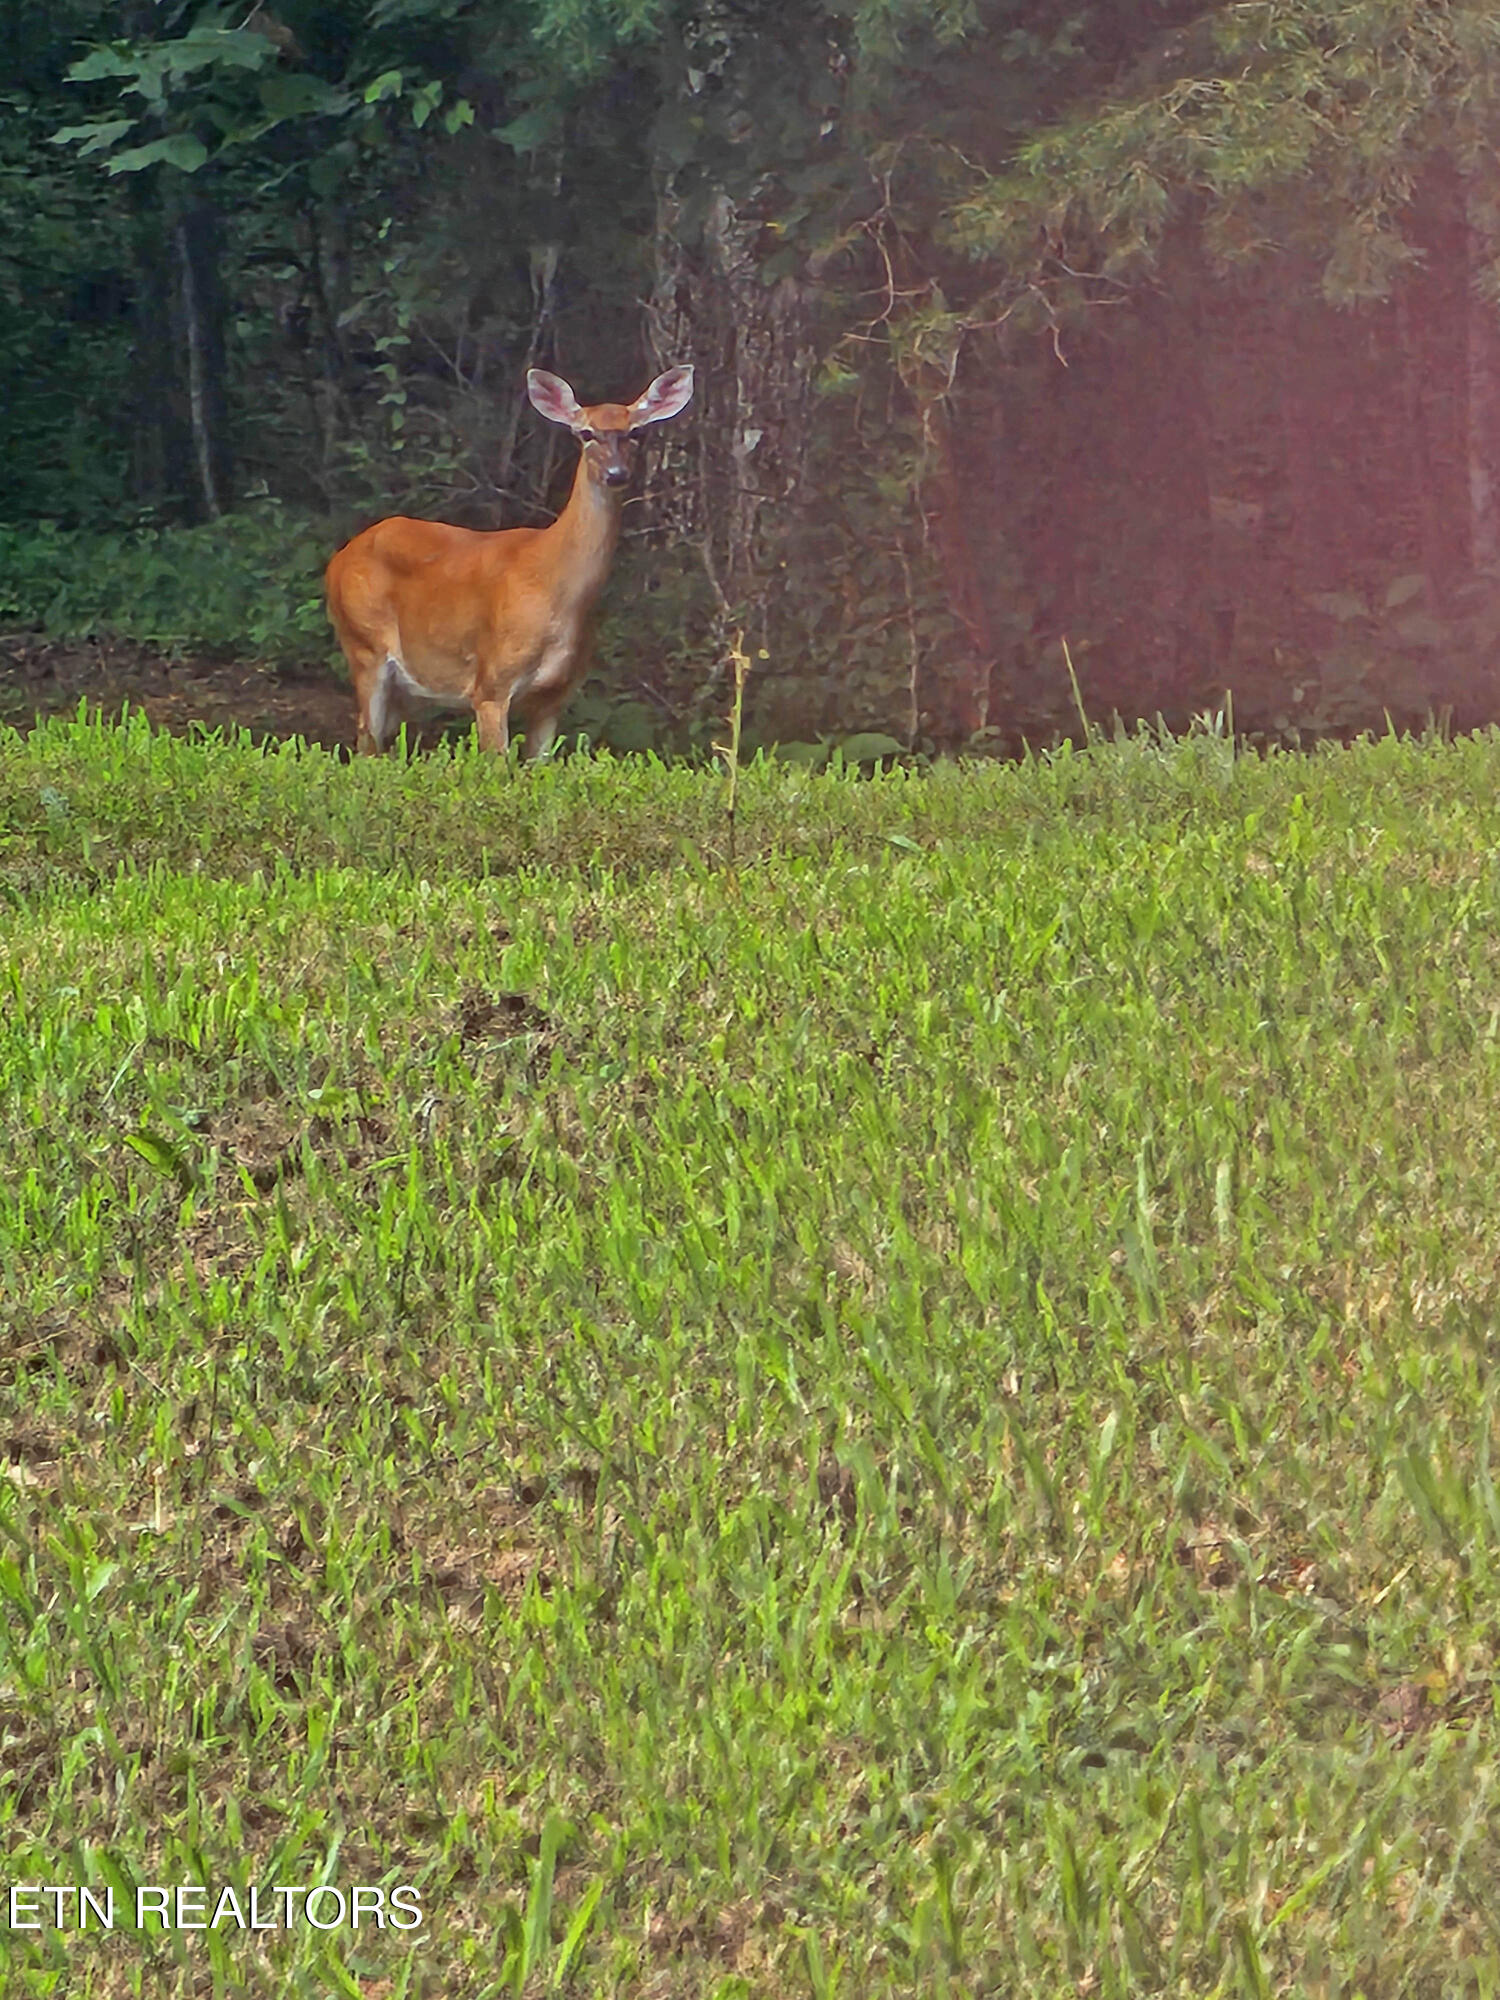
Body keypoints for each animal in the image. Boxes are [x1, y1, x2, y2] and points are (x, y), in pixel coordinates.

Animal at [325, 365, 695, 758]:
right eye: (586, 433)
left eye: (635, 431)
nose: (616, 474)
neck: (556, 589)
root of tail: (338, 559)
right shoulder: (491, 683)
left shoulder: (556, 694)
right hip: (363, 643)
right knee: (365, 742)